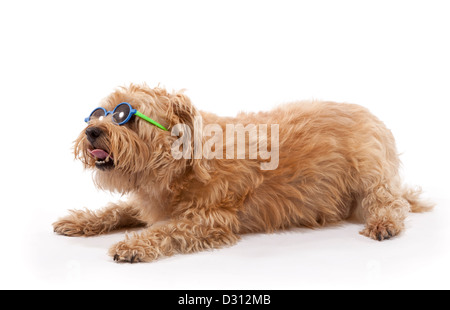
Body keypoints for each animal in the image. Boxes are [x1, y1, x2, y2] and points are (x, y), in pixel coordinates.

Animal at [52, 83, 432, 262]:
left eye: (124, 116)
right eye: (98, 113)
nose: (92, 131)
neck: (181, 165)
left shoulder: (209, 220)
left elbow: (167, 230)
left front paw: (135, 244)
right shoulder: (149, 204)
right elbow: (117, 210)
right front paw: (82, 221)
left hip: (371, 178)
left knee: (392, 203)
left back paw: (384, 223)